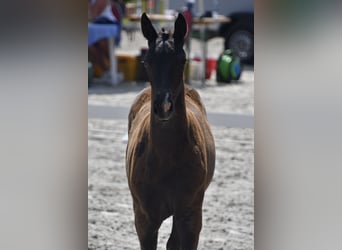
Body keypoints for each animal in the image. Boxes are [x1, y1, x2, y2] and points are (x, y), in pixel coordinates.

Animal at [127, 13, 215, 250]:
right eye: (147, 62)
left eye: (181, 61)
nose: (164, 106)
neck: (166, 157)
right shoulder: (145, 220)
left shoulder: (190, 215)